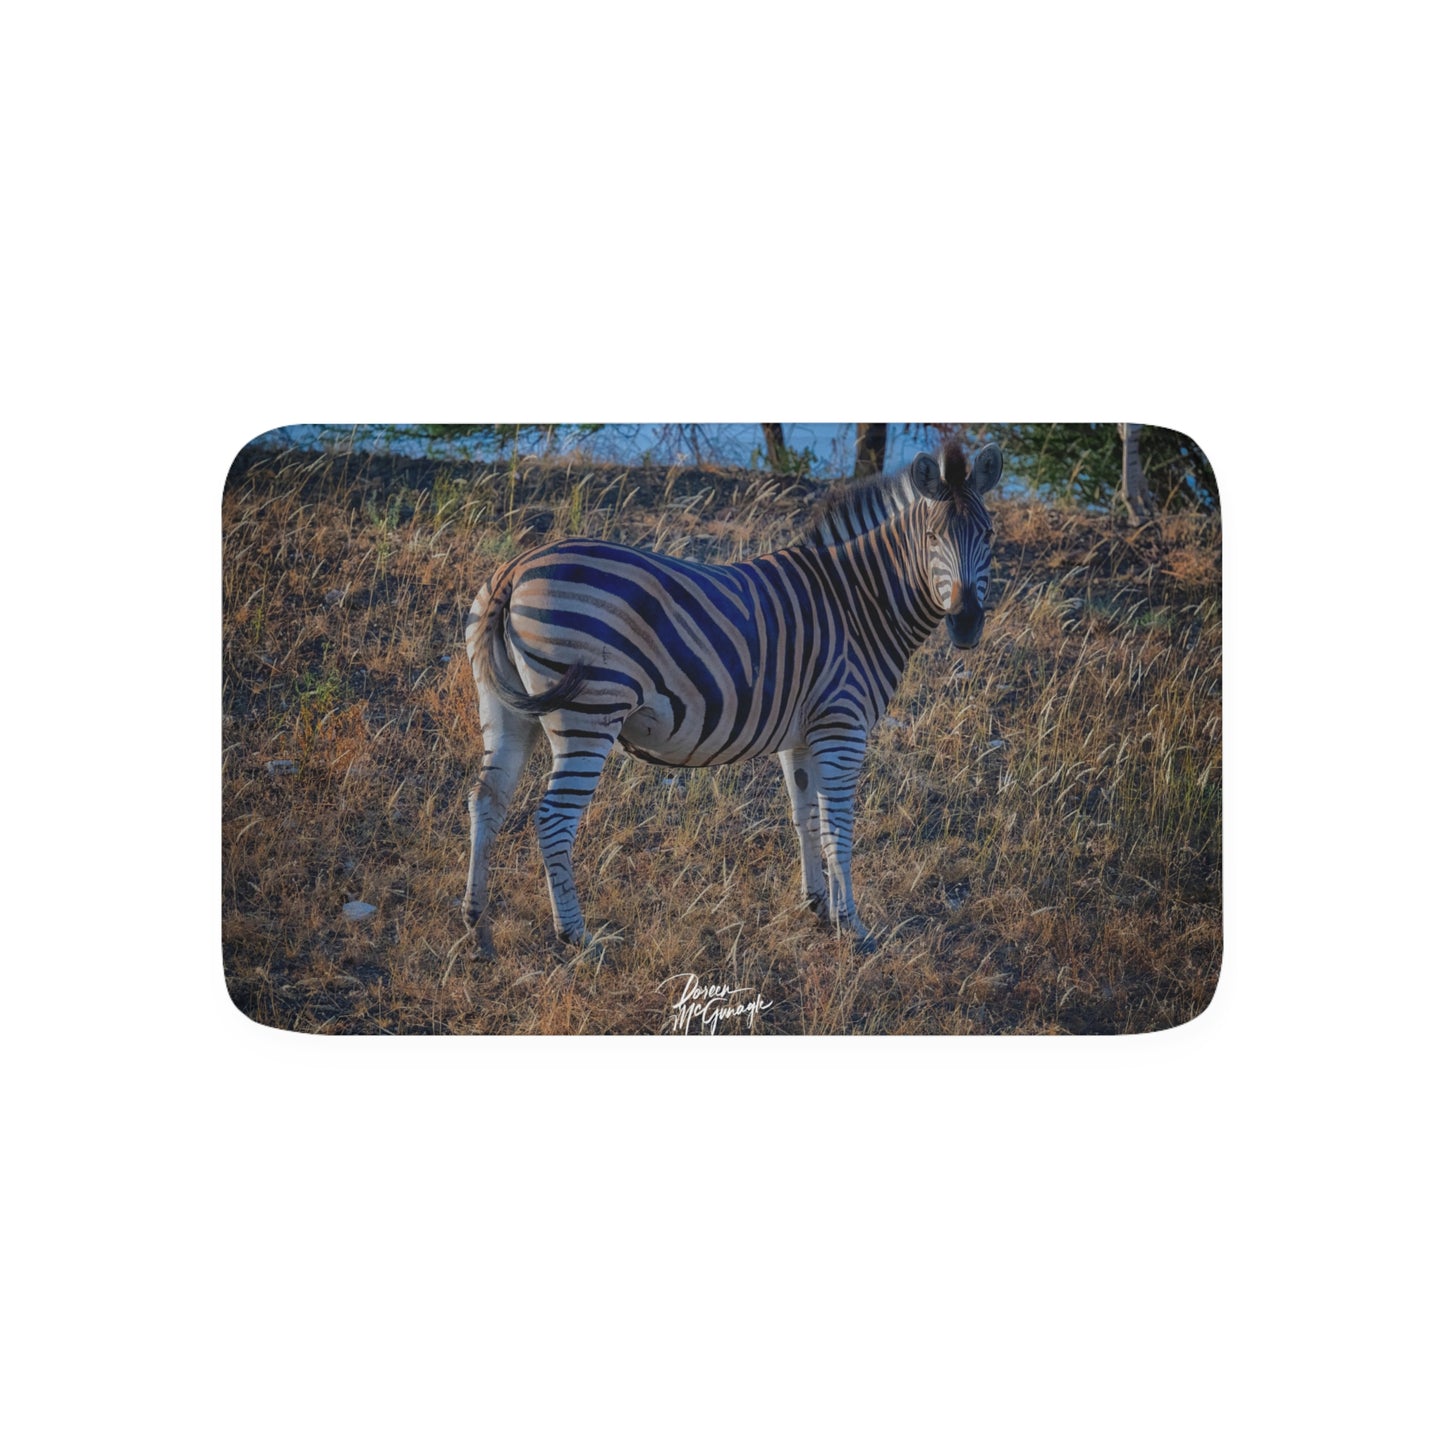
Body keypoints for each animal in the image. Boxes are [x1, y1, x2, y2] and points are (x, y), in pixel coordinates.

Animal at [461, 438, 1003, 957]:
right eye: (932, 538)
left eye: (989, 536)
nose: (967, 623)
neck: (858, 604)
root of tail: (515, 569)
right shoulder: (842, 727)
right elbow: (838, 829)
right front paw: (853, 926)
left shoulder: (801, 736)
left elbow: (805, 818)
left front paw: (818, 906)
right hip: (589, 713)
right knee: (554, 820)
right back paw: (576, 936)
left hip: (504, 708)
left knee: (487, 800)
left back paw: (478, 928)